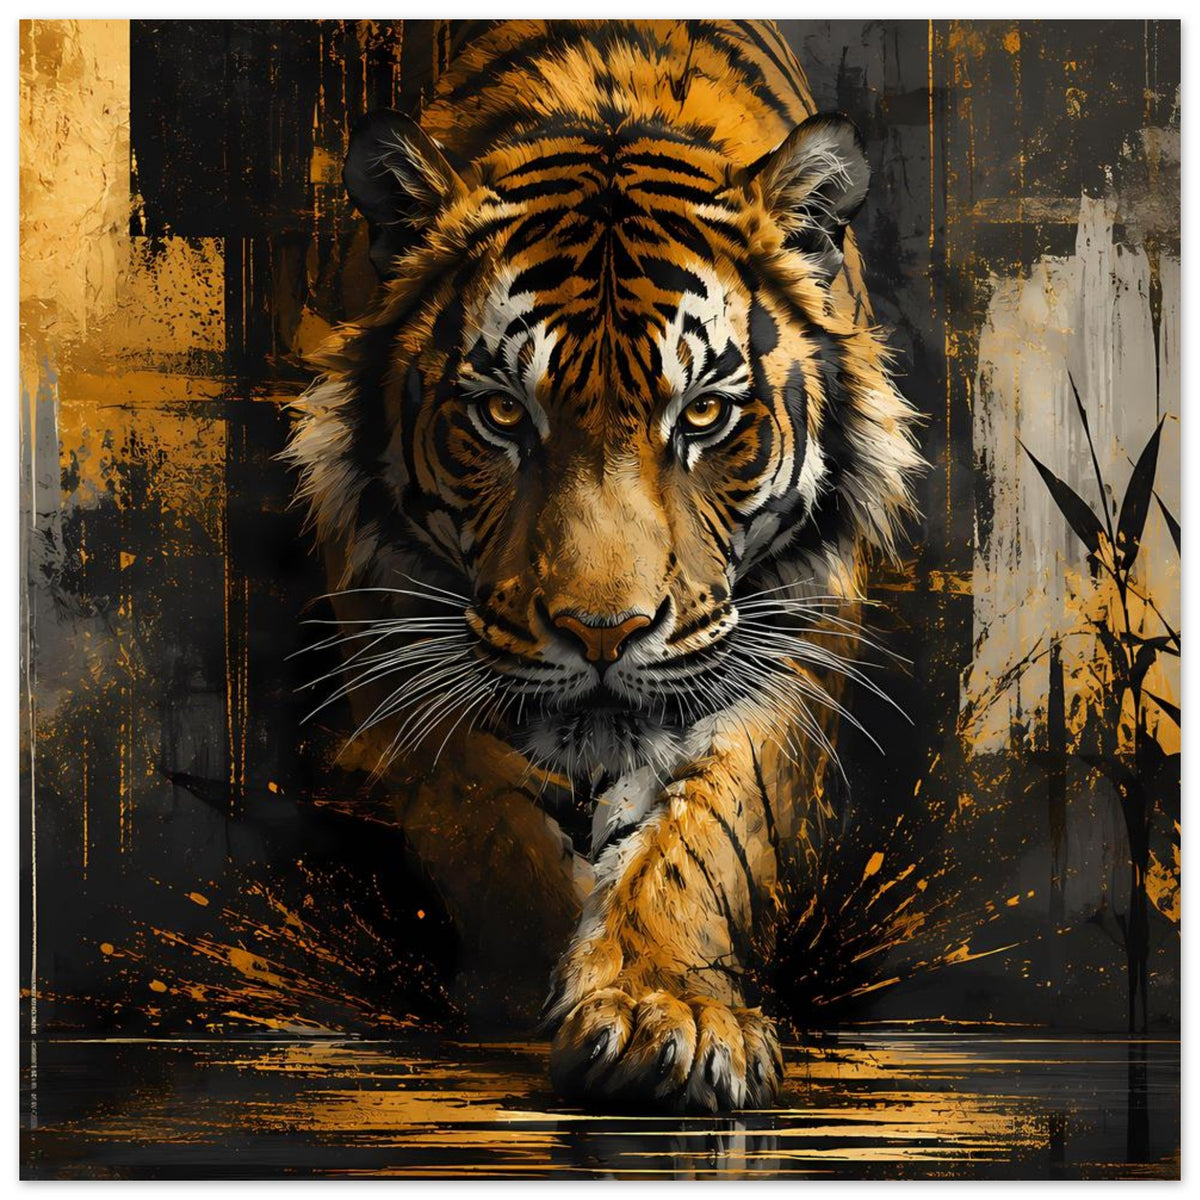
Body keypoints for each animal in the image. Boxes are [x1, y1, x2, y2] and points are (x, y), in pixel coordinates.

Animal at [285, 19, 922, 1113]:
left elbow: (705, 838)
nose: (601, 633)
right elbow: (485, 826)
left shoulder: (787, 640)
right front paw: (522, 987)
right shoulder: (395, 628)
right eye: (503, 414)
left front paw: (664, 1017)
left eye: (703, 415)